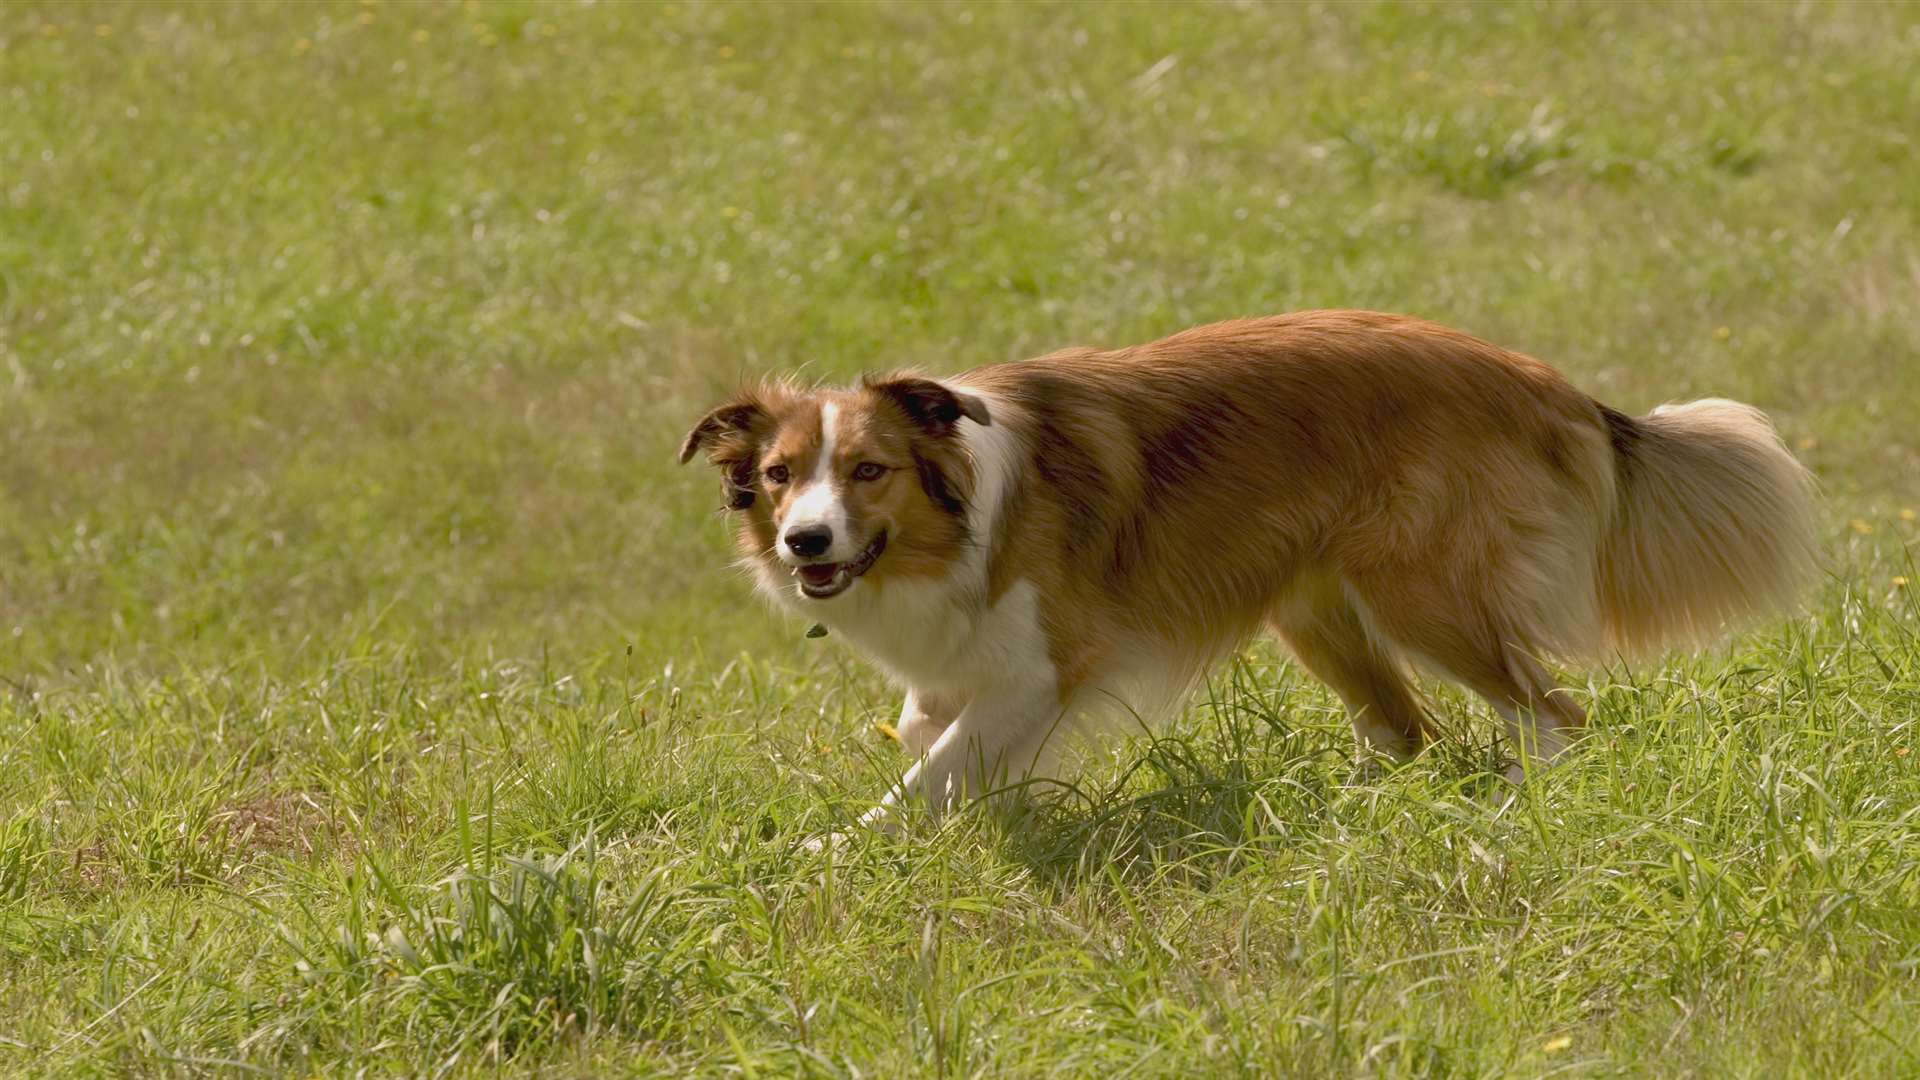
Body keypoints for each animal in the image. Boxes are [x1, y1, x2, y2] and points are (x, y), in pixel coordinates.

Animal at [679, 309, 1812, 822]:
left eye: (868, 470)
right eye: (780, 476)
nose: (806, 542)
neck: (958, 520)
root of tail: (1536, 376)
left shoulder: (1045, 667)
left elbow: (929, 774)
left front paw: (837, 855)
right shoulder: (976, 670)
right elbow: (932, 731)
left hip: (1420, 596)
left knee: (1551, 712)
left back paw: (1529, 804)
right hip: (1316, 613)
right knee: (1407, 728)